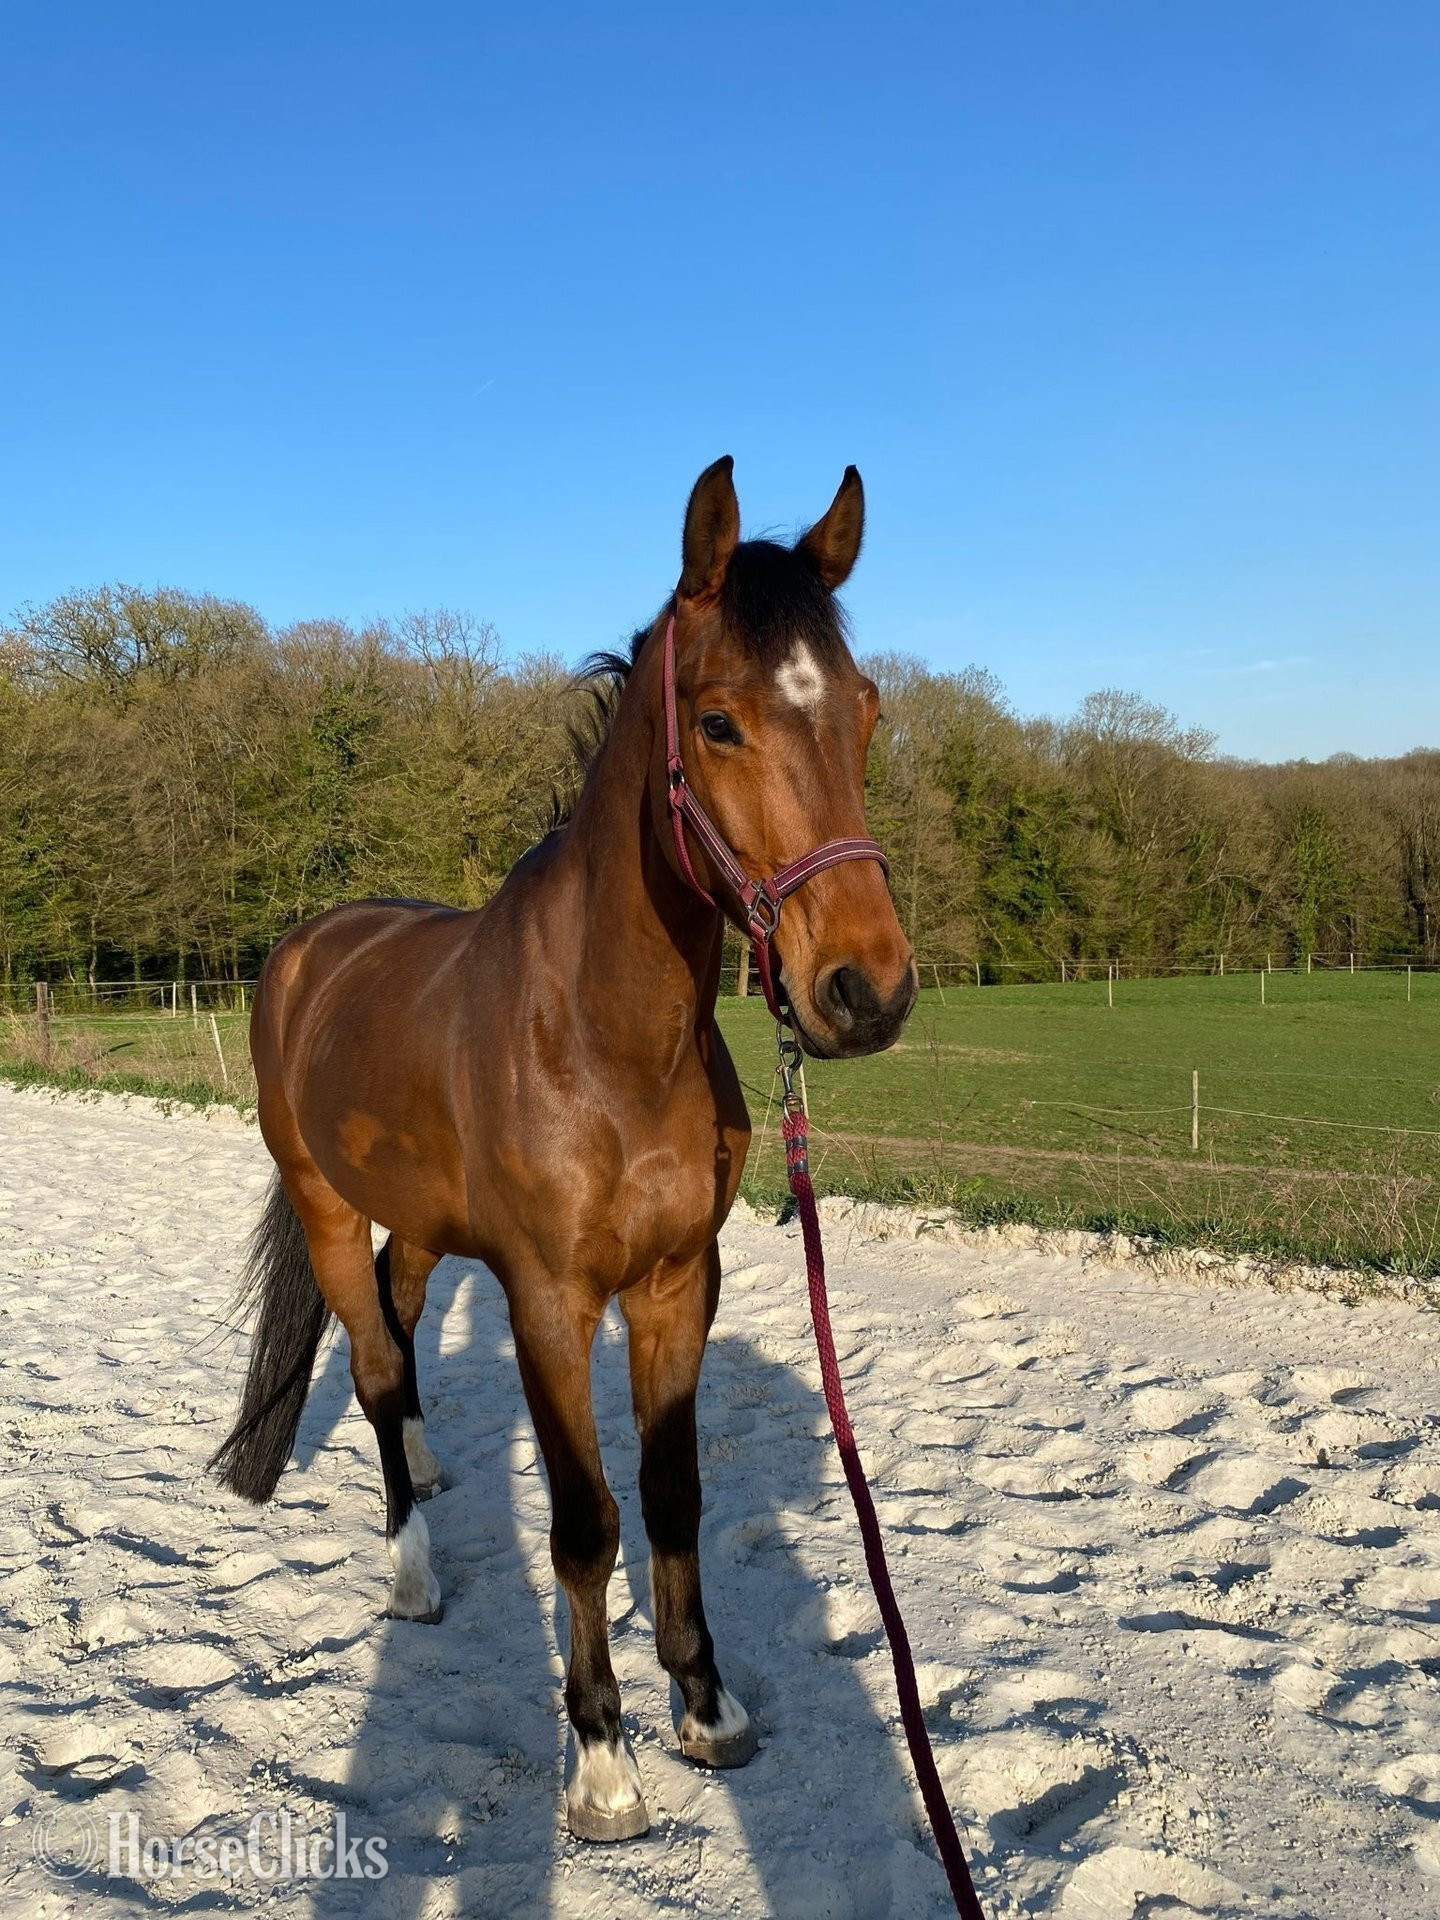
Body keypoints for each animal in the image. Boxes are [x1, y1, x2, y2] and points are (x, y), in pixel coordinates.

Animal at [210, 456, 918, 1842]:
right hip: (326, 1206)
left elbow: (673, 1496)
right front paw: (601, 1758)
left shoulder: (676, 1286)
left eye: (863, 711)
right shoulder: (548, 1298)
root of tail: (308, 950)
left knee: (398, 1336)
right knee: (372, 1362)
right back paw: (413, 1573)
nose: (866, 991)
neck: (604, 1038)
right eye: (717, 722)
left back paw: (432, 1477)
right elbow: (587, 1522)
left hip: (420, 1224)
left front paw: (709, 1707)